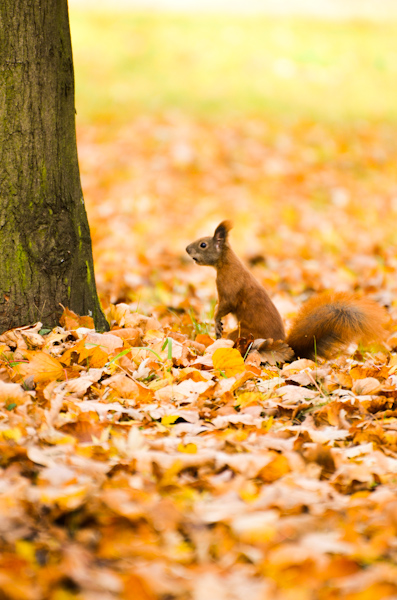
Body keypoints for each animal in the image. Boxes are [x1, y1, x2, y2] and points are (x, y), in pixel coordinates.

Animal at [186, 223, 386, 358]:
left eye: (203, 244)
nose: (187, 249)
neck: (226, 263)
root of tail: (287, 349)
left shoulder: (228, 287)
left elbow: (224, 305)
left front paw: (216, 322)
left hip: (246, 336)